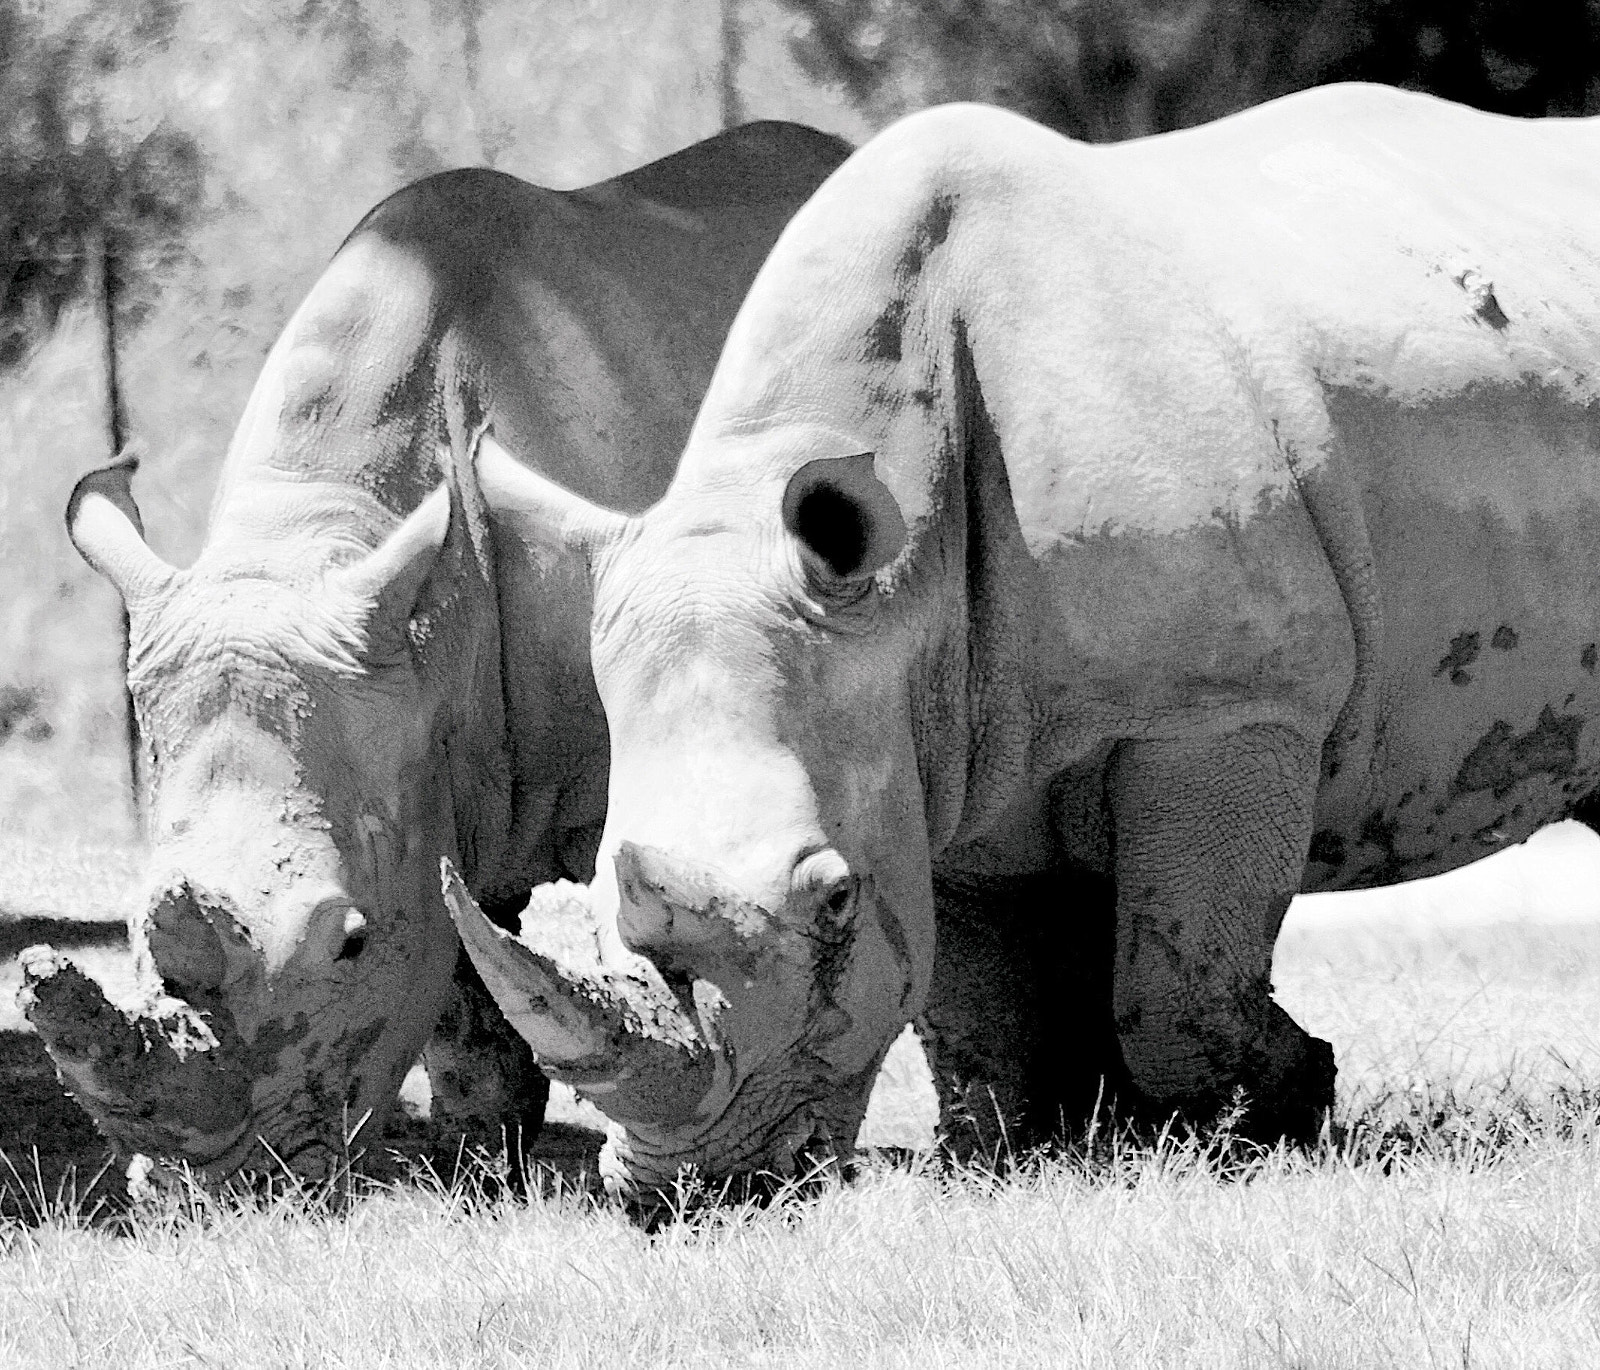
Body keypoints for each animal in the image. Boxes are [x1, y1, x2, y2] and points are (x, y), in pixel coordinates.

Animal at [20, 121, 851, 1179]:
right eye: (126, 932)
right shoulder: (421, 740)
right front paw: (476, 1163)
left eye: (349, 943)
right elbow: (460, 958)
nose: (216, 1188)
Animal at [454, 83, 1600, 1186]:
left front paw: (1281, 1105)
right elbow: (972, 1002)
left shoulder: (1223, 703)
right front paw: (1026, 1144)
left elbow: (1175, 979)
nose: (684, 1187)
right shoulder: (934, 734)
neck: (902, 576)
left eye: (834, 900)